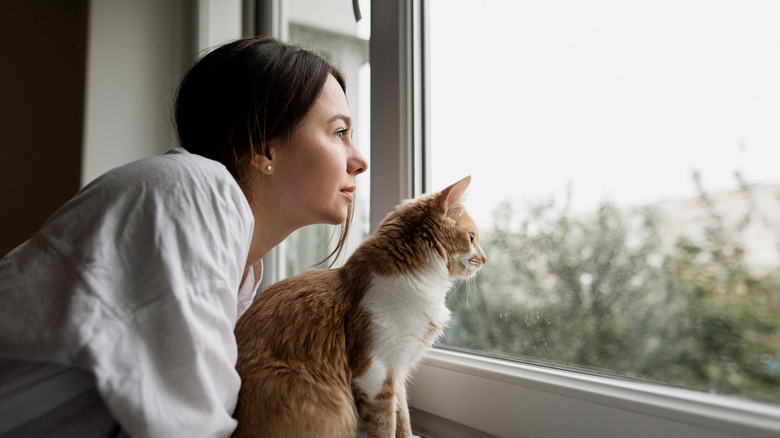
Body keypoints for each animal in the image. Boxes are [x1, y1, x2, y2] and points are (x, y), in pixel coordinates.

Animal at [233, 175, 488, 438]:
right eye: (472, 238)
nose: (485, 258)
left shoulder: (397, 371)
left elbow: (403, 417)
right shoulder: (375, 371)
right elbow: (385, 424)